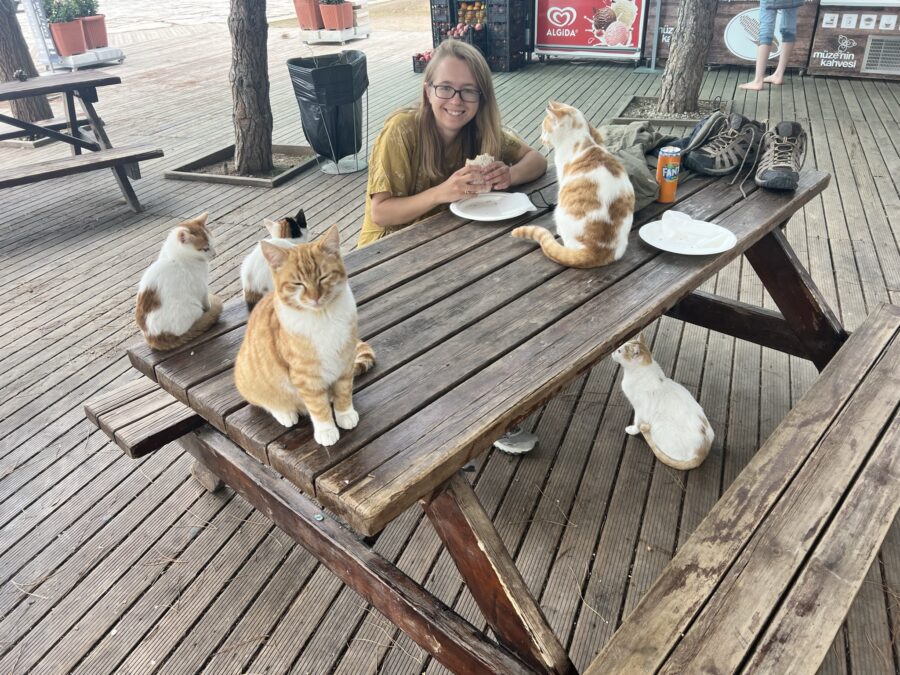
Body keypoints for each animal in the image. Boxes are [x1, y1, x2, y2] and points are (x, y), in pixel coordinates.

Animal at [135, 213, 223, 352]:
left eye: (213, 244)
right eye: (205, 248)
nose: (215, 254)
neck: (175, 256)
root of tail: (153, 338)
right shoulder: (201, 285)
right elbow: (206, 301)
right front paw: (209, 308)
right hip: (192, 307)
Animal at [234, 227, 374, 448]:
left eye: (323, 277)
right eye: (298, 284)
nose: (315, 297)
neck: (323, 317)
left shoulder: (344, 361)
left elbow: (344, 391)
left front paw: (344, 413)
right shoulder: (306, 377)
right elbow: (317, 406)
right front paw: (326, 429)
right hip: (251, 381)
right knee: (266, 401)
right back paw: (285, 412)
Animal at [608, 332, 712, 470]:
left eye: (619, 351)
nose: (613, 352)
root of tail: (702, 453)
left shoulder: (640, 409)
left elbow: (637, 423)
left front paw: (632, 430)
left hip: (658, 426)